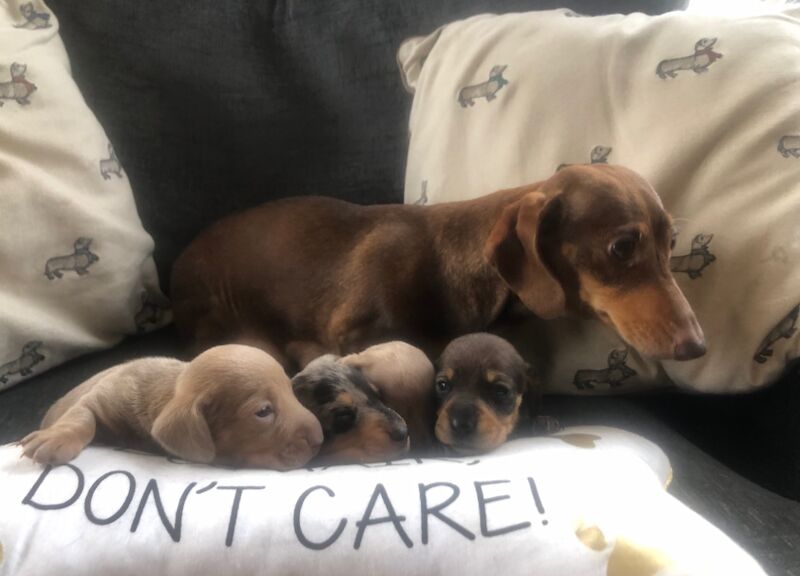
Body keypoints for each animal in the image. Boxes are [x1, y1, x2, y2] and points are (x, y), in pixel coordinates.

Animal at [19, 344, 318, 470]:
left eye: (292, 391)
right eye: (264, 412)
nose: (319, 438)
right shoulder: (103, 395)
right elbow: (82, 417)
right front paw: (55, 438)